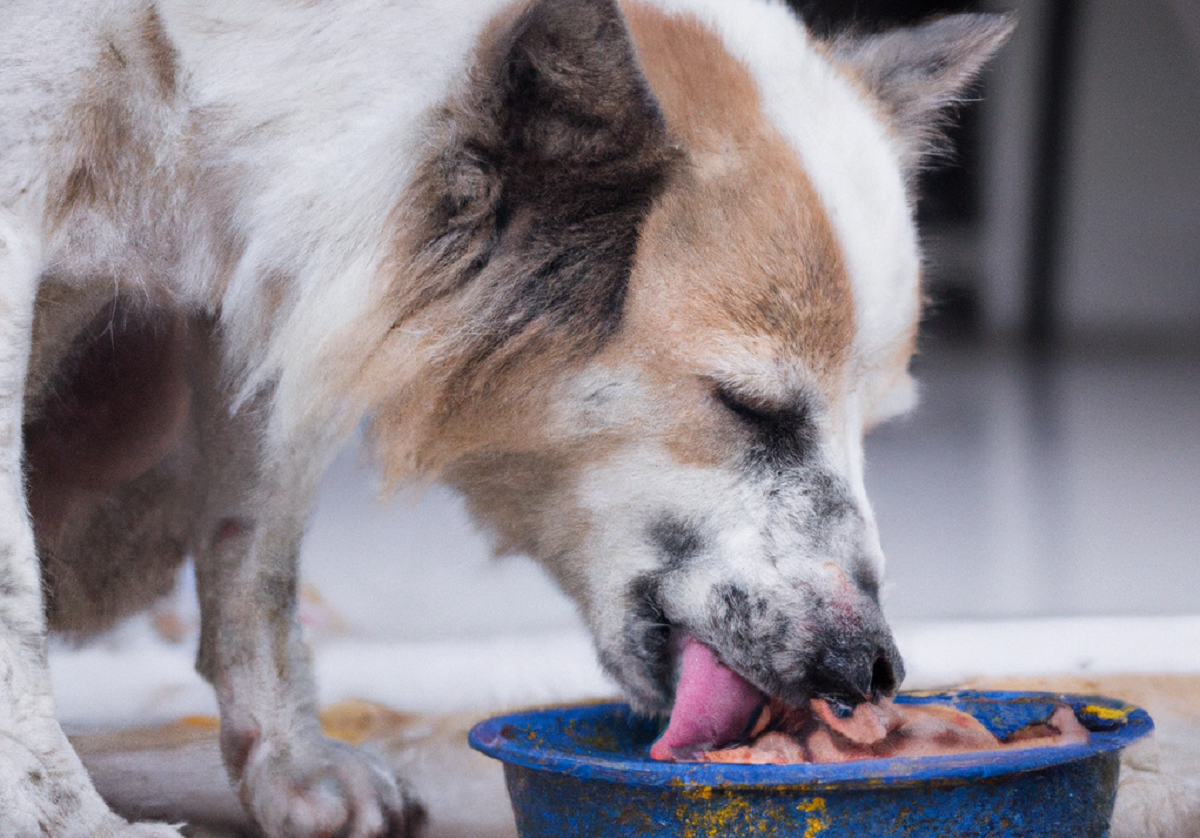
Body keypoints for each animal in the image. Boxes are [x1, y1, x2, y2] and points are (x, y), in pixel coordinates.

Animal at [0, 0, 1012, 830]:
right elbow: (16, 599)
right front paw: (64, 816)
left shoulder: (273, 293)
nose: (872, 671)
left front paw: (290, 765)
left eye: (871, 427)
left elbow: (257, 557)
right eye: (749, 407)